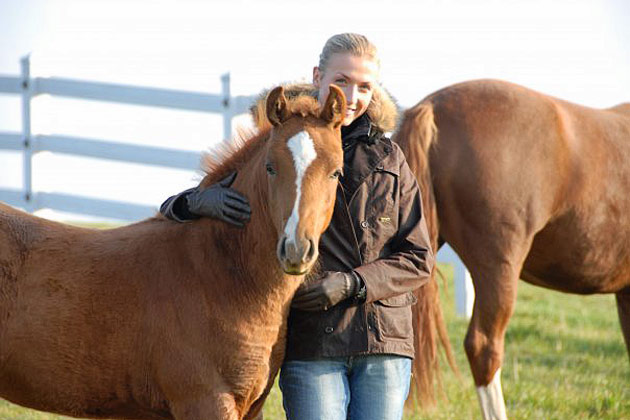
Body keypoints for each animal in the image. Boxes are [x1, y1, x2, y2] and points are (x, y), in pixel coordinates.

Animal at [0, 85, 346, 420]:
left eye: (336, 173)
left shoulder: (250, 409)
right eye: (270, 167)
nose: (296, 249)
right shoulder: (204, 402)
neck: (217, 275)